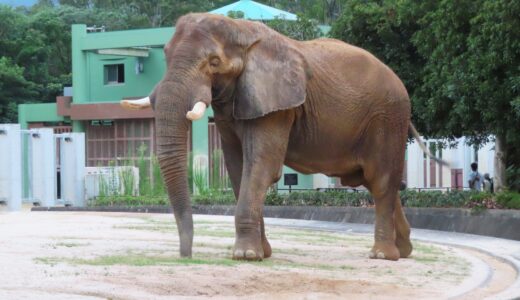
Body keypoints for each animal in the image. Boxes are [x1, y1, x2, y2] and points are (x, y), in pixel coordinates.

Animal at [122, 12, 442, 260]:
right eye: (164, 55)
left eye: (213, 62)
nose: (186, 255)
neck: (241, 31)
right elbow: (238, 168)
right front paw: (261, 253)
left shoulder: (276, 107)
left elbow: (260, 166)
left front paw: (246, 256)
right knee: (372, 181)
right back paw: (404, 250)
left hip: (387, 118)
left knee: (381, 180)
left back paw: (383, 256)